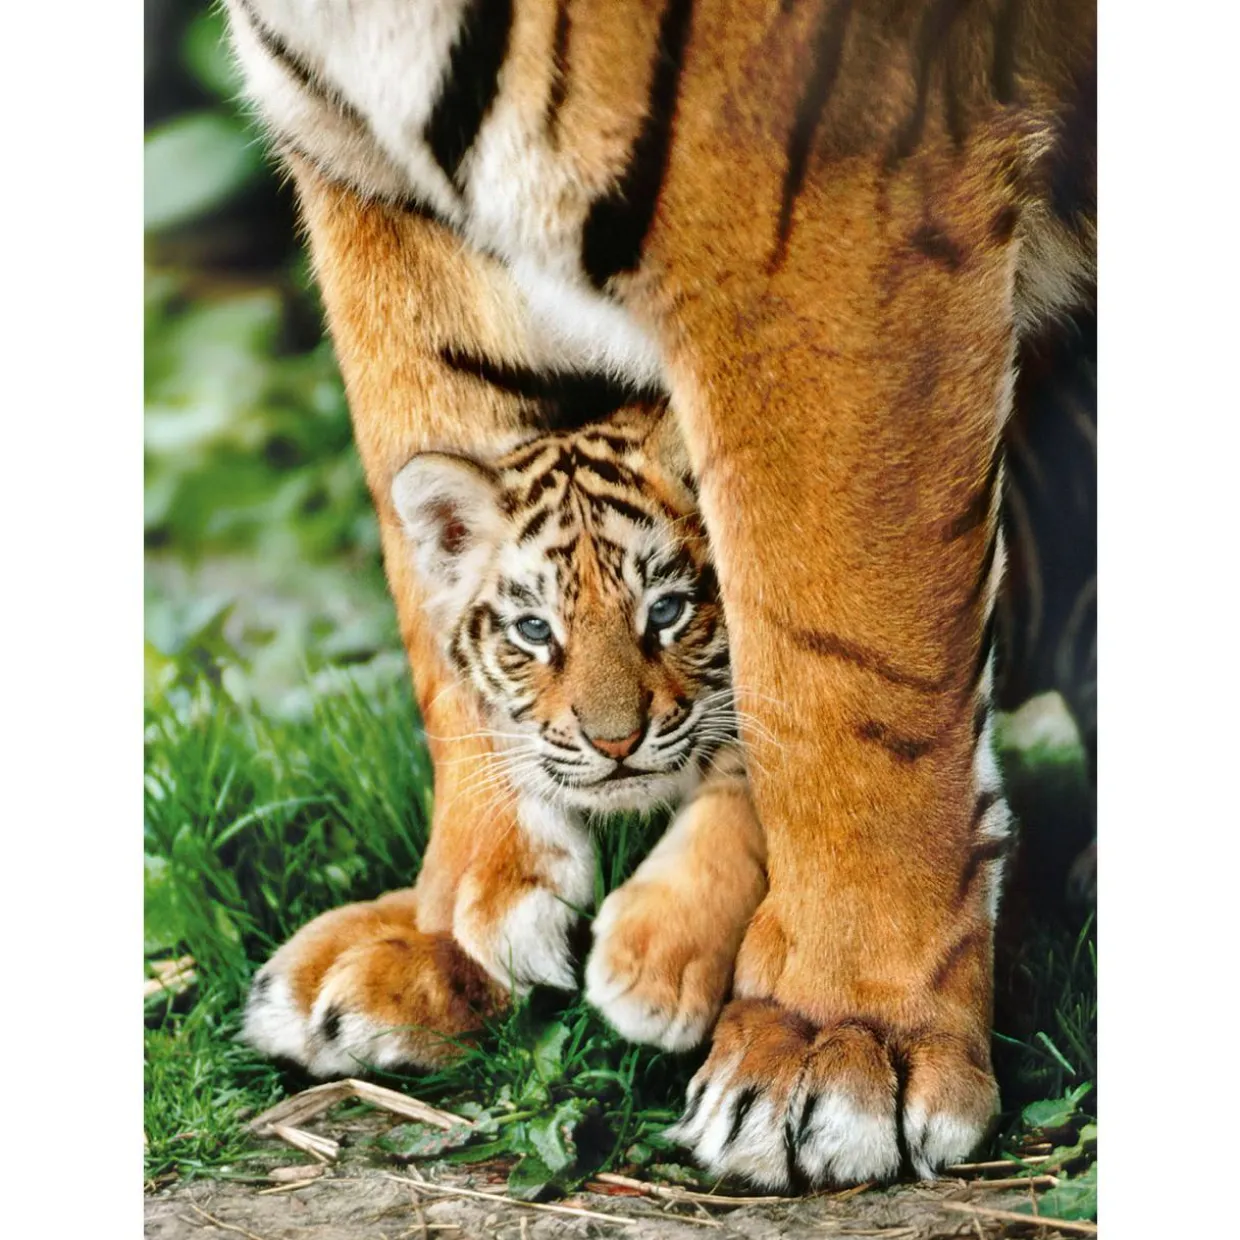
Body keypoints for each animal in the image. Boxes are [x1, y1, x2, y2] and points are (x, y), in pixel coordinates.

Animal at [223, 0, 1096, 1190]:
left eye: (669, 614)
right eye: (533, 629)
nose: (610, 738)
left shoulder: (822, 192)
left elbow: (839, 679)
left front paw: (835, 1042)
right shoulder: (366, 179)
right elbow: (427, 565)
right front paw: (454, 926)